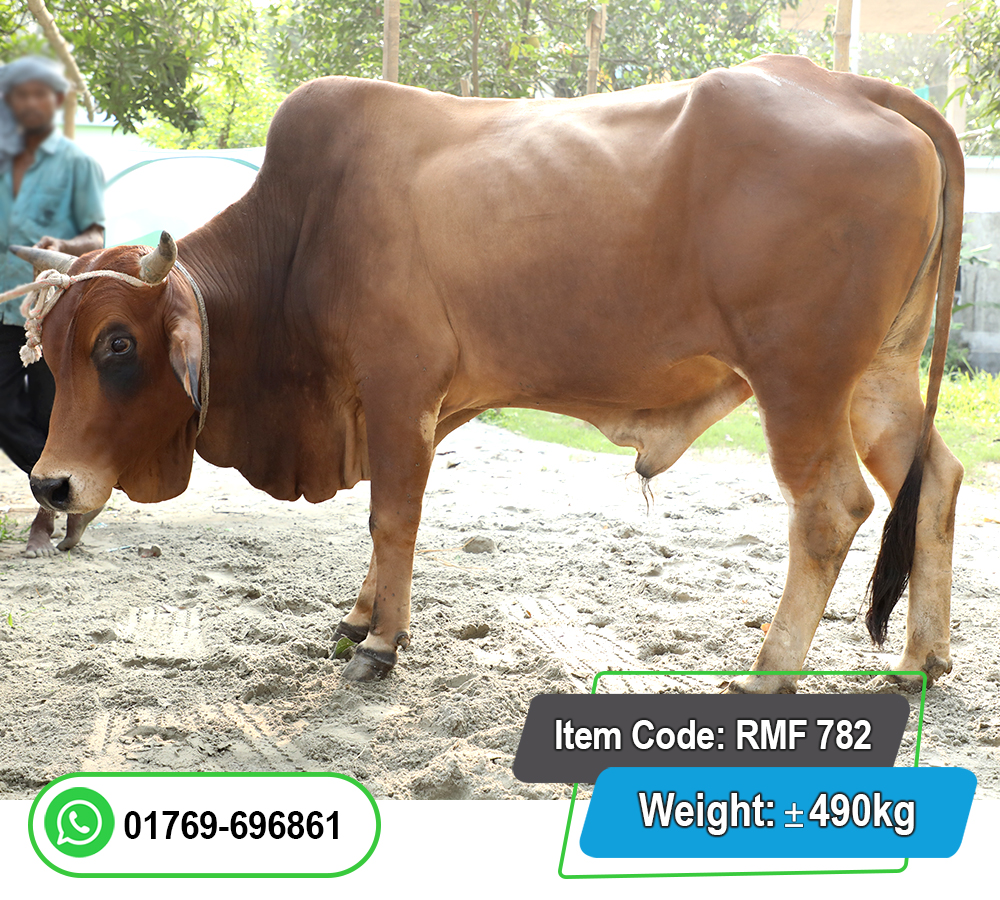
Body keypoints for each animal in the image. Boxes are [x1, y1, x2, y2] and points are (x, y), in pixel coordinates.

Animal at [10, 54, 963, 691]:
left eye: (118, 345)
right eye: (46, 345)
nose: (51, 485)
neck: (299, 238)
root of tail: (855, 87)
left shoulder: (402, 393)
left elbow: (392, 519)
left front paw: (380, 645)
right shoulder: (390, 404)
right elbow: (380, 522)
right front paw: (360, 617)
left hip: (799, 379)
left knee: (831, 508)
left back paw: (768, 672)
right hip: (878, 376)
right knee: (937, 479)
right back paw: (921, 658)